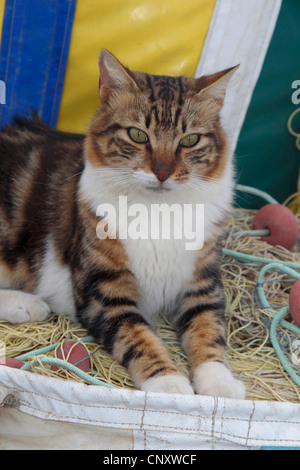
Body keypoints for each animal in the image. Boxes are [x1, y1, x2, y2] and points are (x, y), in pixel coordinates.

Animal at [0, 50, 245, 396]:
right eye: (138, 135)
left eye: (190, 140)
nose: (162, 172)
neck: (159, 211)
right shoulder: (104, 293)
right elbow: (140, 339)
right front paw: (169, 384)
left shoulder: (203, 287)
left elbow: (209, 333)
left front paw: (219, 384)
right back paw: (26, 304)